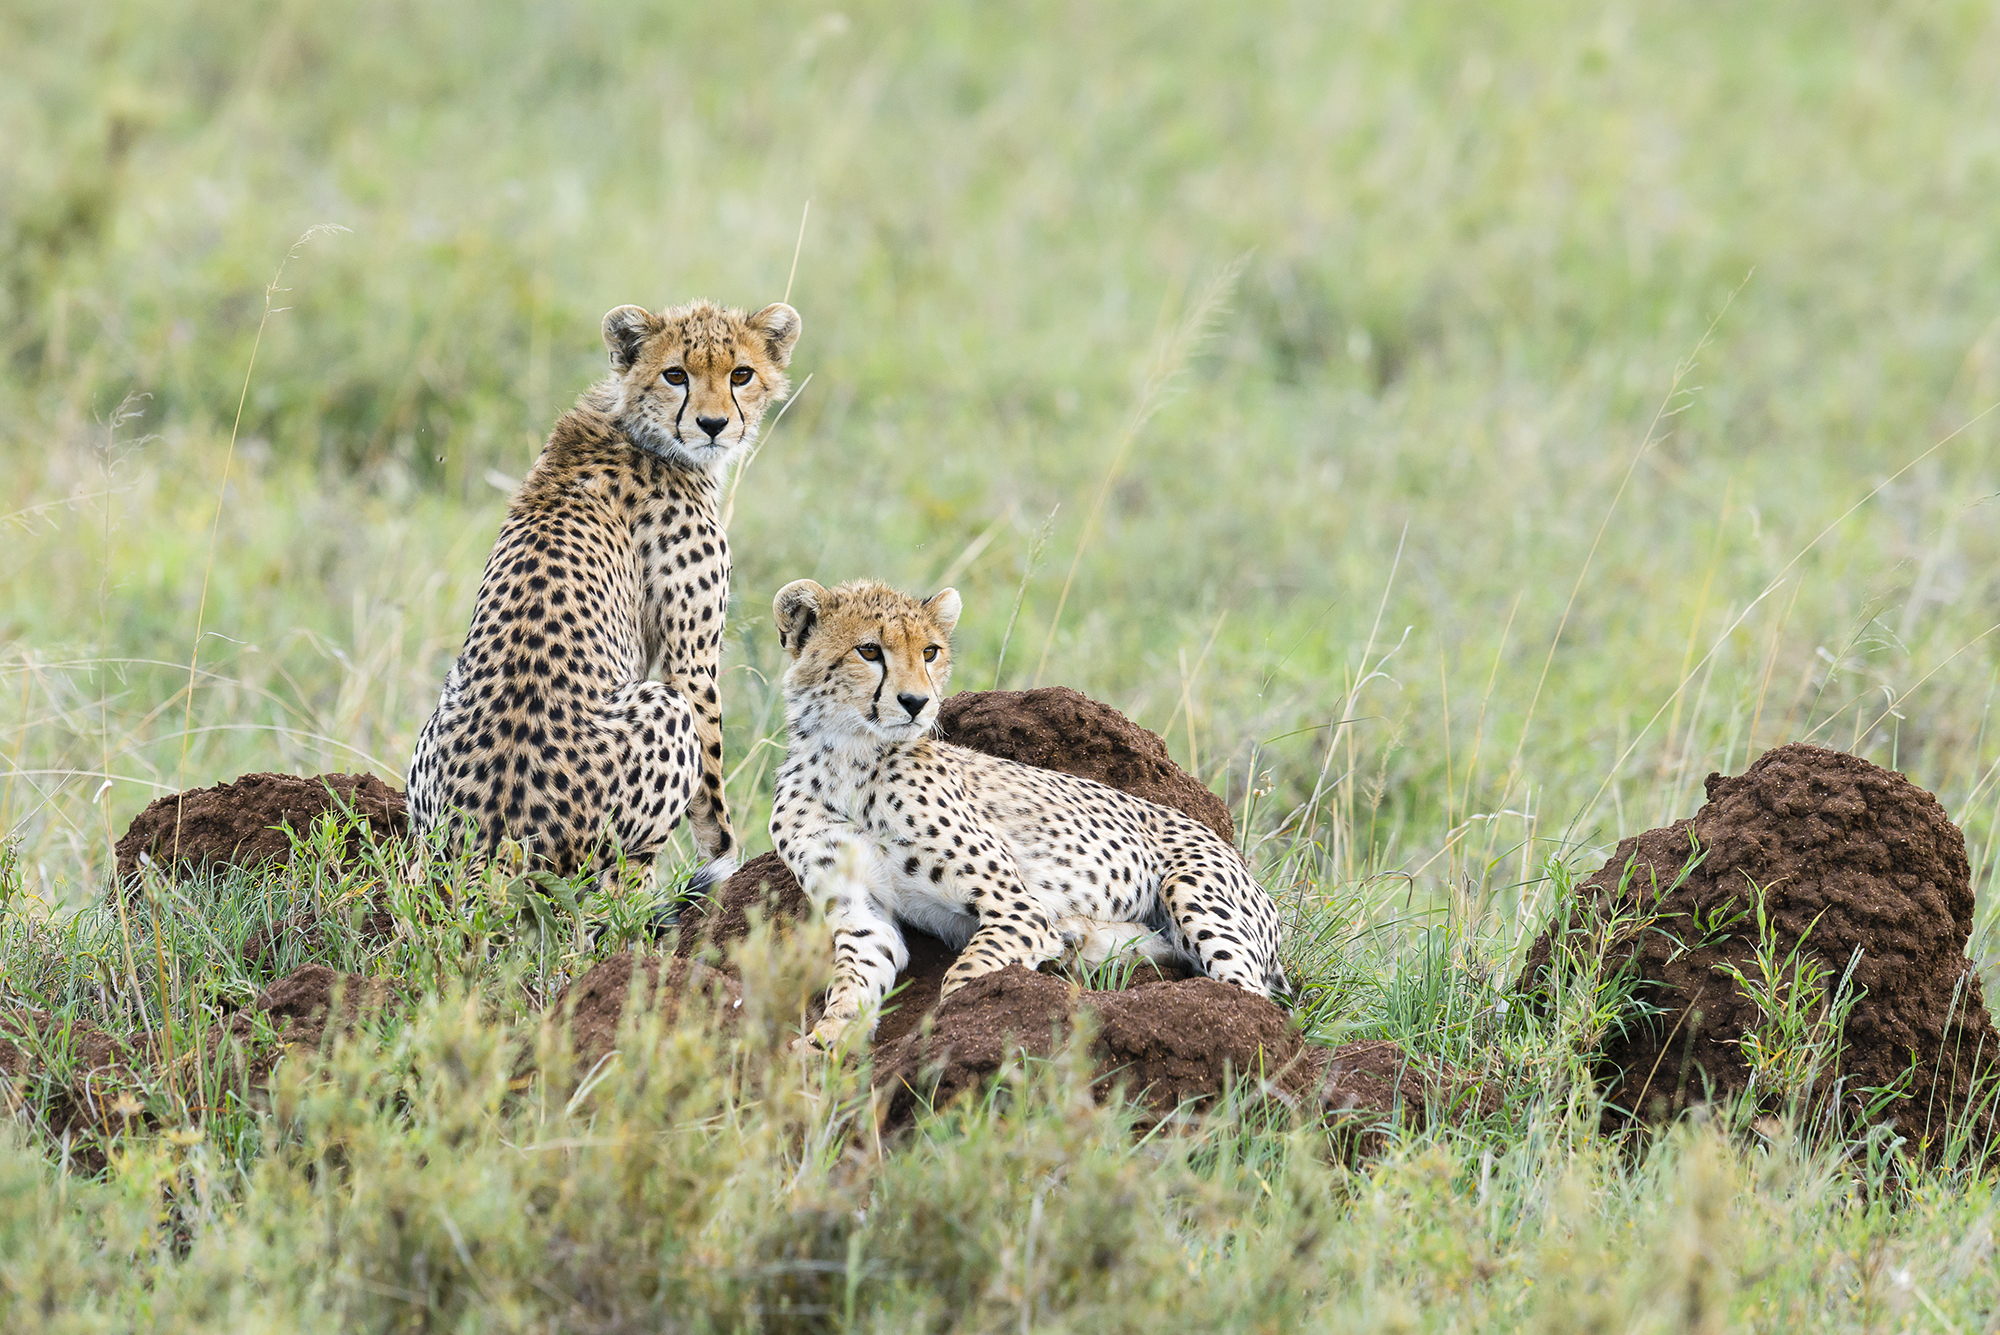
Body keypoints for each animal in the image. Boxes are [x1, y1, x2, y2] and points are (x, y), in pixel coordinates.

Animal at [402, 297, 800, 891]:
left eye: (741, 374)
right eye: (675, 375)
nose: (712, 425)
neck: (638, 432)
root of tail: (491, 853)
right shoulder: (691, 664)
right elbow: (713, 773)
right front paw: (729, 855)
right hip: (660, 711)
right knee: (615, 881)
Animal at [764, 579, 1280, 1047]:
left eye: (930, 652)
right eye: (869, 650)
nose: (916, 703)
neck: (847, 758)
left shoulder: (1020, 908)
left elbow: (968, 975)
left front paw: (945, 1033)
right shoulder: (862, 911)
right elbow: (853, 978)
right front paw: (825, 1042)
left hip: (1191, 888)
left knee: (1250, 1000)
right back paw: (1080, 939)